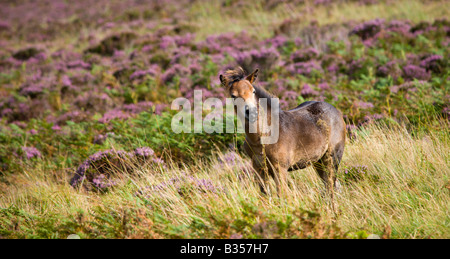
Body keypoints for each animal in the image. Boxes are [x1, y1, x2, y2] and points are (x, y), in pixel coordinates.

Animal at [220, 67, 346, 201]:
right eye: (233, 96)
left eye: (253, 91)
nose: (252, 112)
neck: (262, 138)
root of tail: (337, 111)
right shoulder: (259, 169)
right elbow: (265, 195)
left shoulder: (280, 168)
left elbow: (282, 195)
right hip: (318, 161)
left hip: (332, 158)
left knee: (330, 185)